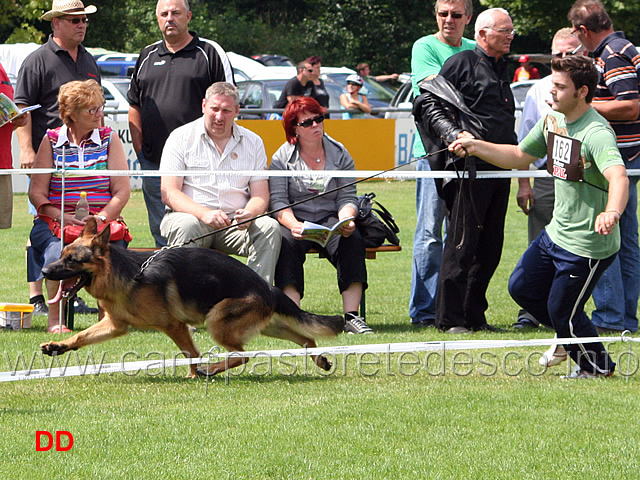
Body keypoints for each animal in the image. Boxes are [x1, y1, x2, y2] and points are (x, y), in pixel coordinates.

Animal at [40, 218, 344, 378]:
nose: (44, 271)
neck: (127, 275)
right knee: (305, 339)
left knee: (242, 355)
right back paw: (320, 359)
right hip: (268, 326)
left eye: (71, 260)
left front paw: (194, 374)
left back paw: (213, 368)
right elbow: (81, 337)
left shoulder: (174, 326)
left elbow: (191, 354)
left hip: (217, 321)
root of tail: (268, 288)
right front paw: (58, 346)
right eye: (62, 255)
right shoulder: (115, 325)